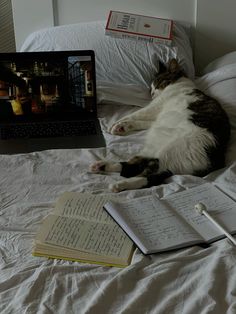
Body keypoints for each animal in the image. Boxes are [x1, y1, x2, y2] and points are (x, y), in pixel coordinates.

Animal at [90, 57, 230, 193]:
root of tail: (216, 161)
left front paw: (115, 124)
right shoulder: (156, 116)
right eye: (150, 89)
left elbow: (135, 114)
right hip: (154, 148)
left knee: (147, 176)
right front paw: (122, 127)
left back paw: (119, 184)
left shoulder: (155, 106)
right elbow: (140, 122)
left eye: (157, 84)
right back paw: (101, 167)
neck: (180, 84)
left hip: (171, 150)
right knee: (135, 165)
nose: (152, 94)